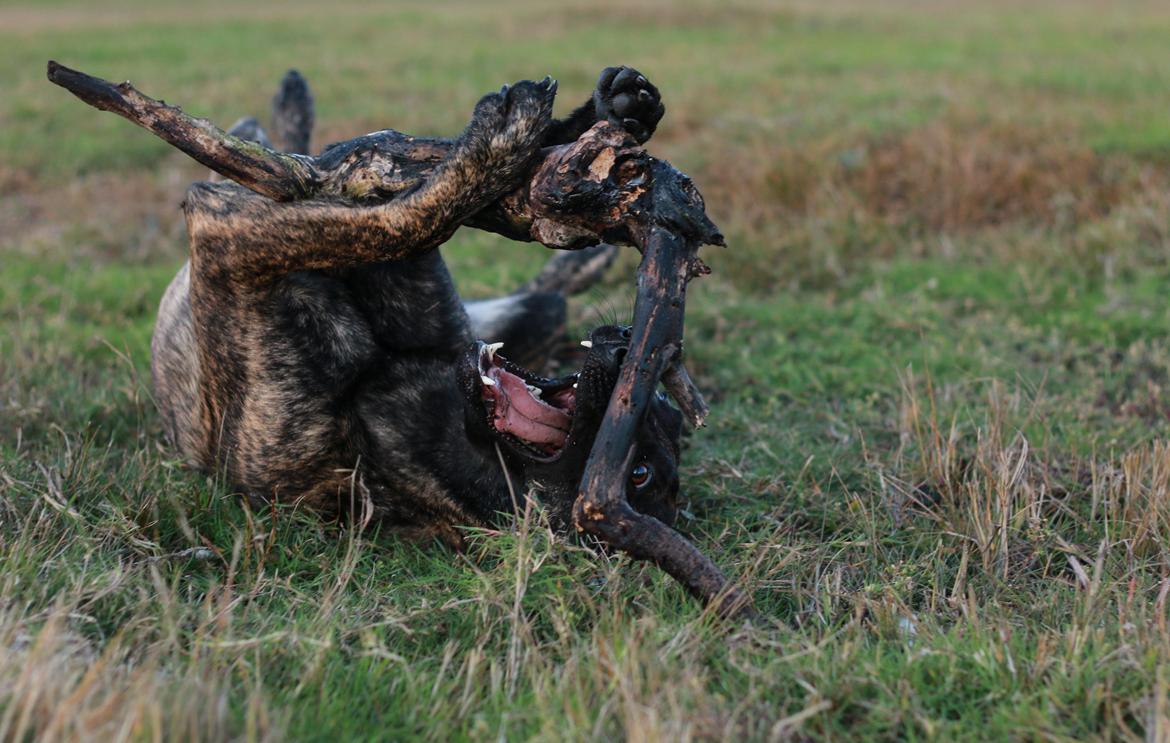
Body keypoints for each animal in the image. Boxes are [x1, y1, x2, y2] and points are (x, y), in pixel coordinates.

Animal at [153, 68, 683, 547]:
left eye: (639, 474)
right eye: (667, 408)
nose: (630, 348)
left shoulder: (225, 242)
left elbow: (401, 222)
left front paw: (497, 144)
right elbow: (374, 193)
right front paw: (602, 117)